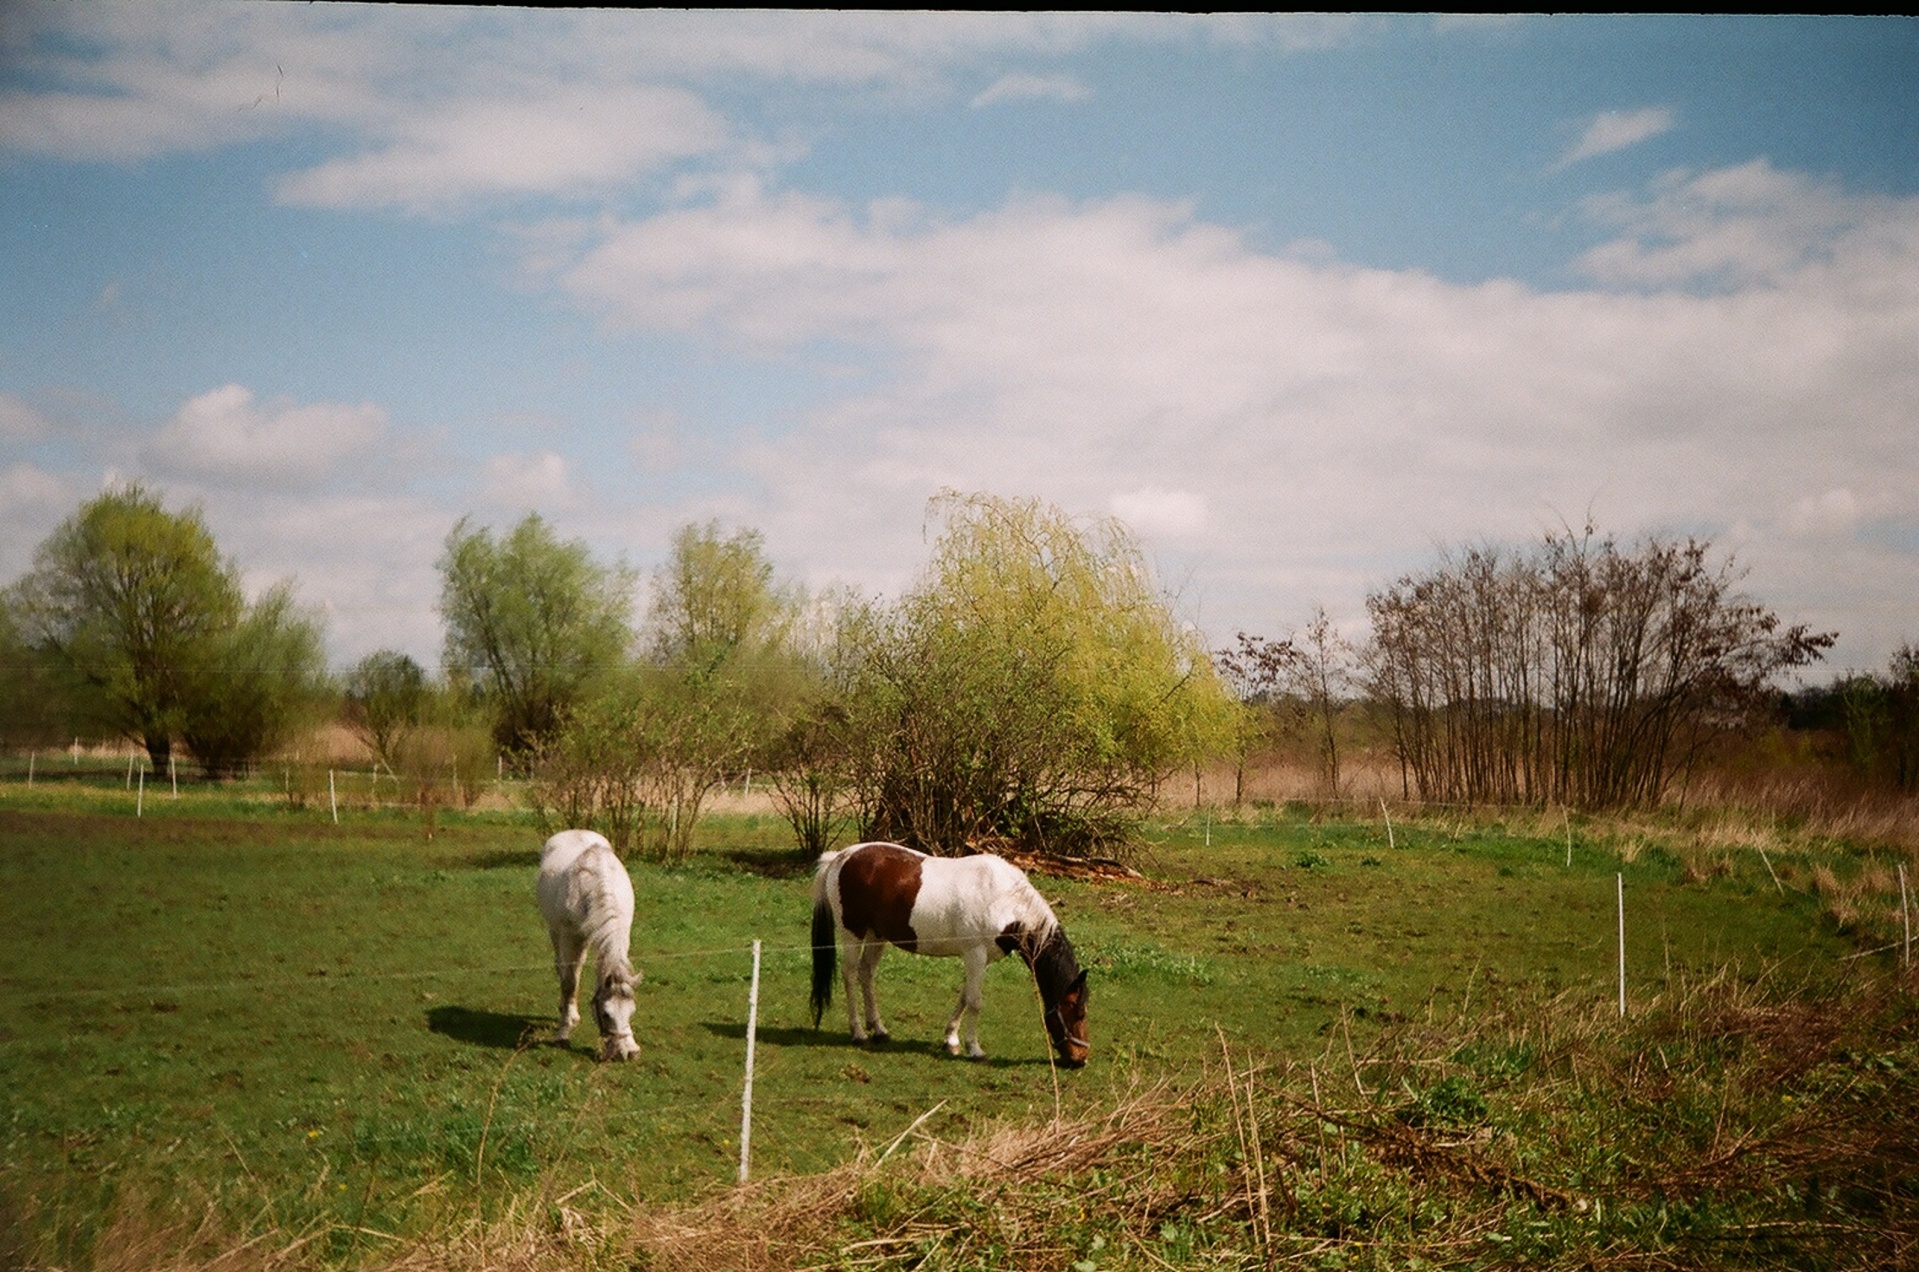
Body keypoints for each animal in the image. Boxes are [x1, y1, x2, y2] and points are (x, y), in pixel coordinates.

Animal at [537, 832, 640, 1059]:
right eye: (606, 1014)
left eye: (632, 1010)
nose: (630, 1053)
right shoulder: (569, 936)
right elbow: (568, 983)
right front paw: (563, 1033)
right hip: (557, 933)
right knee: (563, 969)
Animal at [805, 840, 1089, 1066]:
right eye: (1076, 1011)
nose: (1081, 1059)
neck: (1004, 899)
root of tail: (842, 856)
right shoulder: (975, 955)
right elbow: (974, 1001)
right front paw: (974, 1049)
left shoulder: (980, 960)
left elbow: (964, 997)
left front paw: (951, 1040)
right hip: (852, 933)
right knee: (850, 975)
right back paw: (858, 1033)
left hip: (877, 935)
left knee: (867, 974)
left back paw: (879, 1029)